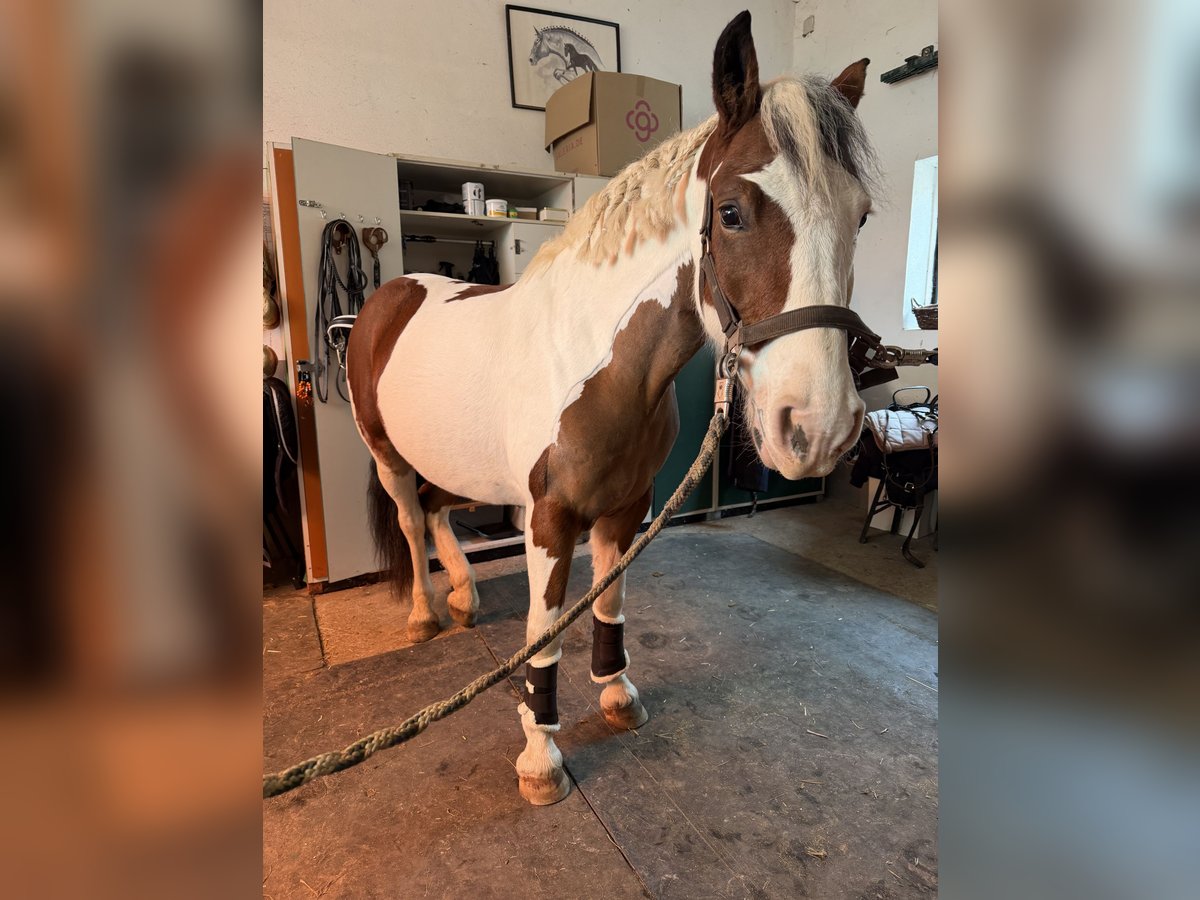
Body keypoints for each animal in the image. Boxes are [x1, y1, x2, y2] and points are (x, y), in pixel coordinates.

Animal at [347, 10, 877, 806]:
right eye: (730, 212)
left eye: (862, 216)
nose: (817, 427)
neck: (599, 362)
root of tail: (388, 294)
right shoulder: (549, 517)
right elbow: (545, 632)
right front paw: (541, 756)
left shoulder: (627, 508)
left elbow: (607, 604)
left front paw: (617, 695)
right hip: (388, 456)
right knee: (413, 521)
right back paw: (424, 614)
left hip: (451, 458)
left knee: (440, 510)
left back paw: (464, 597)